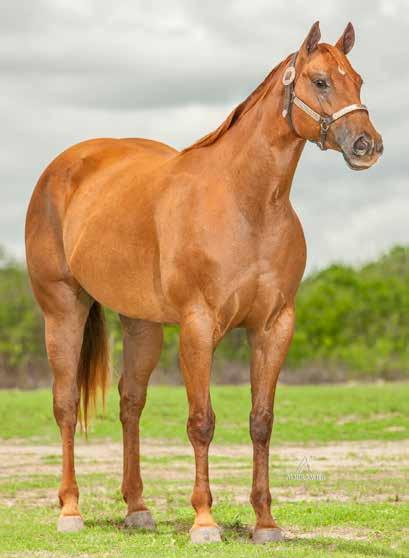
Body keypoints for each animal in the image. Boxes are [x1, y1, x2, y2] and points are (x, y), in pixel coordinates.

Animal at [25, 21, 382, 548]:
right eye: (320, 81)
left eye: (358, 80)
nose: (366, 145)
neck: (247, 203)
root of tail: (61, 168)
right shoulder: (198, 327)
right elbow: (201, 422)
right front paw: (205, 521)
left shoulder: (273, 327)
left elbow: (261, 422)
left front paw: (265, 523)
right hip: (63, 310)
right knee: (66, 405)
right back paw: (70, 510)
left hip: (141, 325)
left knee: (130, 403)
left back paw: (137, 508)